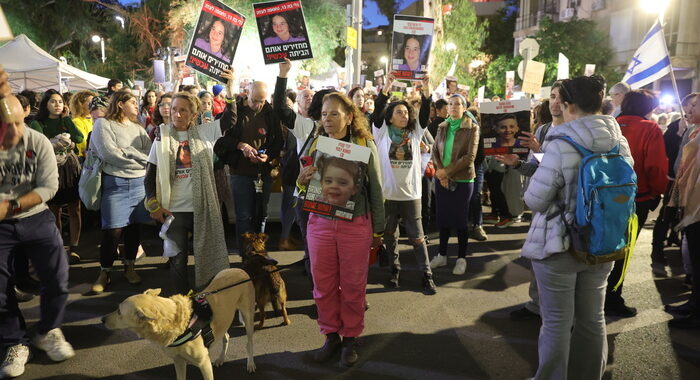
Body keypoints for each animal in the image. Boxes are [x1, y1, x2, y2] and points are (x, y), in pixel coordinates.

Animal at [102, 268, 256, 378]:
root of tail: (240, 269)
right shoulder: (179, 361)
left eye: (119, 311)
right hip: (224, 319)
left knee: (249, 343)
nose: (102, 319)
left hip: (248, 316)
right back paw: (221, 358)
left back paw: (250, 364)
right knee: (226, 336)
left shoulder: (204, 363)